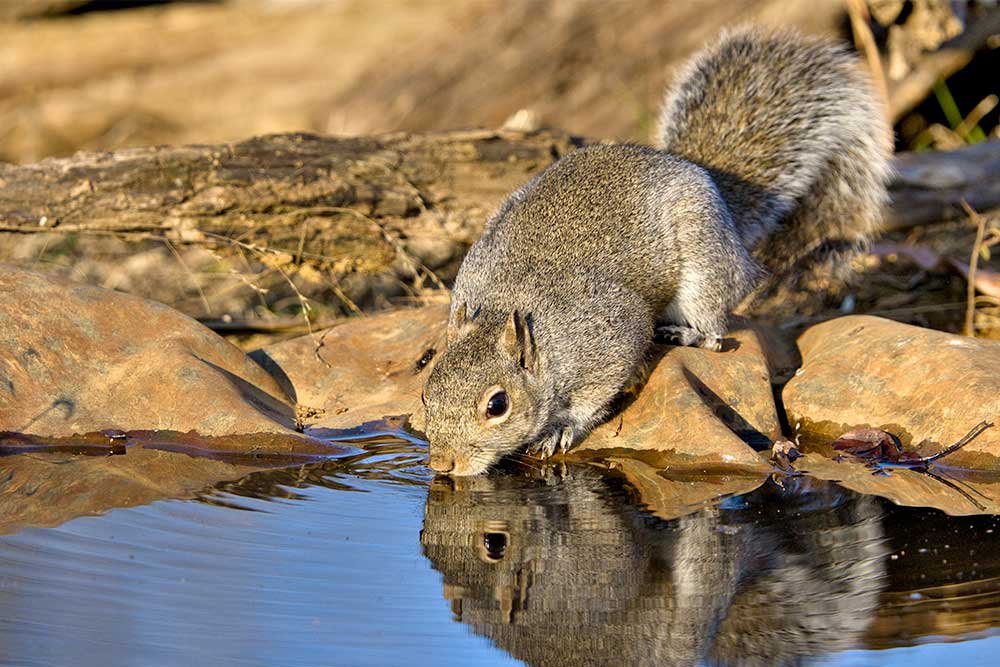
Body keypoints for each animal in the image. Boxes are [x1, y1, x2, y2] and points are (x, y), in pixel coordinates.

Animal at [420, 24, 892, 474]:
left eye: (497, 405)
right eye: (427, 392)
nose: (442, 464)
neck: (511, 309)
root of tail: (701, 173)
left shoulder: (611, 336)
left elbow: (593, 397)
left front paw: (561, 428)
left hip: (703, 269)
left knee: (716, 335)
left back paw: (685, 333)